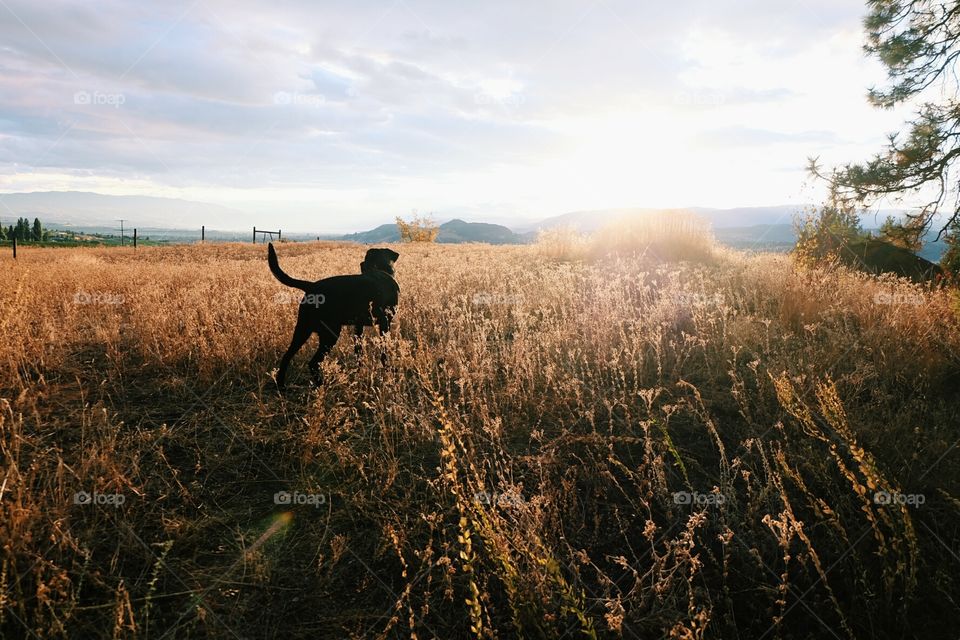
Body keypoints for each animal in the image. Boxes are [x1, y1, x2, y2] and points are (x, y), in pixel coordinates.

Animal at [268, 242, 400, 388]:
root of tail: (311, 286)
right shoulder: (385, 322)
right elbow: (384, 351)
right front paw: (388, 370)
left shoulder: (358, 326)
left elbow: (358, 351)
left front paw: (359, 371)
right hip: (330, 333)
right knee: (313, 362)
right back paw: (321, 385)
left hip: (302, 330)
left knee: (287, 356)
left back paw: (282, 385)